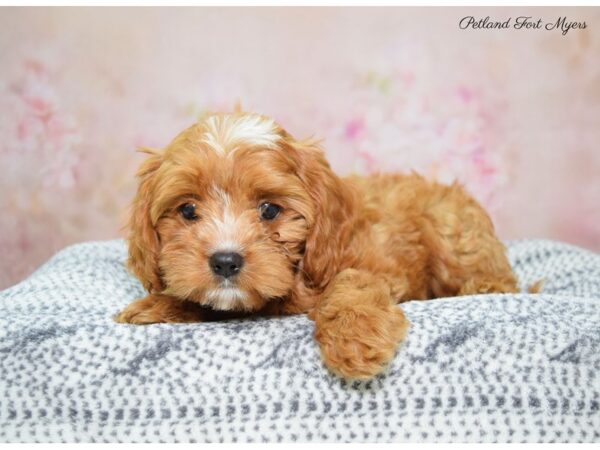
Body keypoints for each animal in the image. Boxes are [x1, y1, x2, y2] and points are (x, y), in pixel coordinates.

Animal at [117, 111, 520, 380]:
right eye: (188, 210)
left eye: (269, 209)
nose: (226, 261)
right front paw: (159, 305)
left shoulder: (377, 267)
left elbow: (352, 283)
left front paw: (354, 337)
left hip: (452, 229)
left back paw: (484, 286)